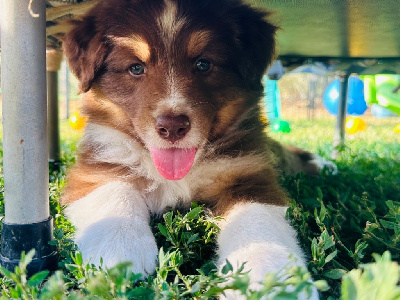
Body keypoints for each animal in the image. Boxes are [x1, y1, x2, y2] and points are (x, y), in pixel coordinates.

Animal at [62, 0, 332, 296]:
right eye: (135, 68)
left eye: (203, 64)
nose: (172, 127)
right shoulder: (96, 164)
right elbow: (115, 191)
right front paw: (118, 251)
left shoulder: (249, 171)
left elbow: (257, 219)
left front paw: (269, 277)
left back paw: (324, 164)